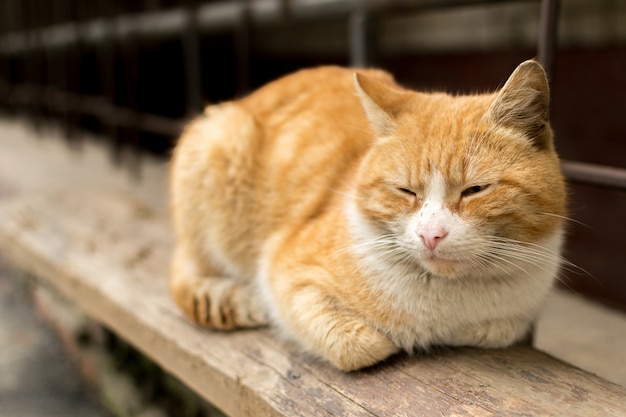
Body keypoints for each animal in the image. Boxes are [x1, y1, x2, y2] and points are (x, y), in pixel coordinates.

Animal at [169, 60, 564, 368]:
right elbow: (360, 345)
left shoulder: (512, 320)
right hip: (217, 144)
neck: (446, 302)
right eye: (406, 191)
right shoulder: (282, 268)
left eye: (475, 190)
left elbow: (496, 329)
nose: (430, 235)